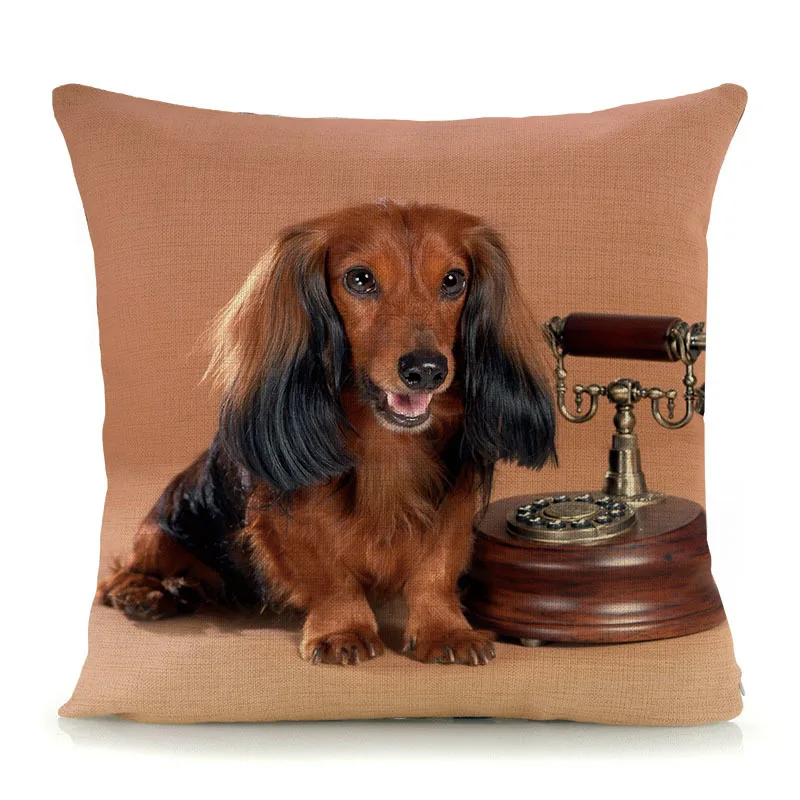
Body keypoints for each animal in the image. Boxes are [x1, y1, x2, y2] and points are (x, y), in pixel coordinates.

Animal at [98, 201, 556, 666]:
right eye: (360, 279)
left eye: (453, 280)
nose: (427, 370)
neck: (387, 445)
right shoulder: (282, 520)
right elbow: (330, 575)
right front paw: (343, 630)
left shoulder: (454, 502)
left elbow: (436, 569)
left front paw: (445, 629)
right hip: (164, 523)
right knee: (118, 574)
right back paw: (145, 593)